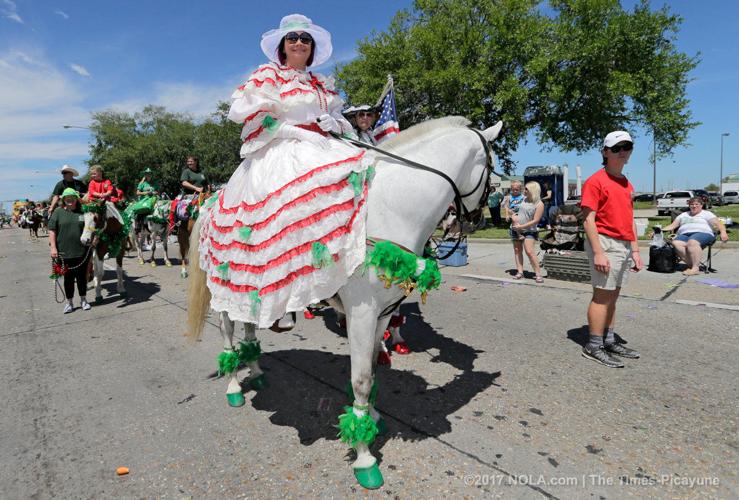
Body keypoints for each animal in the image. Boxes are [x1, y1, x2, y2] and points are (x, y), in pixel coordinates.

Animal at [185, 116, 502, 488]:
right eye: (492, 168)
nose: (479, 218)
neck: (390, 210)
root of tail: (210, 203)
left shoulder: (383, 314)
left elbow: (374, 369)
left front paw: (372, 417)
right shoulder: (361, 314)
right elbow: (361, 379)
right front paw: (364, 456)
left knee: (249, 327)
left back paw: (258, 372)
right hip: (223, 290)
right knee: (227, 332)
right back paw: (234, 384)